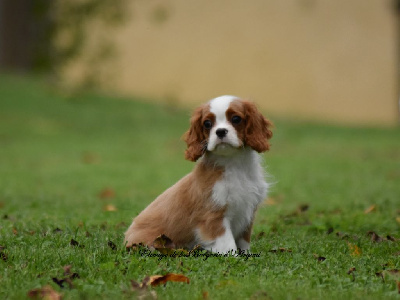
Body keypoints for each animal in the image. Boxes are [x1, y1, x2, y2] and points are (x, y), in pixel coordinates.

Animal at [123, 95, 274, 253]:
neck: (234, 163)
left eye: (236, 119)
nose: (220, 131)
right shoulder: (213, 216)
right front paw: (234, 257)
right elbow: (227, 244)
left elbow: (244, 241)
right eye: (207, 123)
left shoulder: (248, 212)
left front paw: (246, 254)